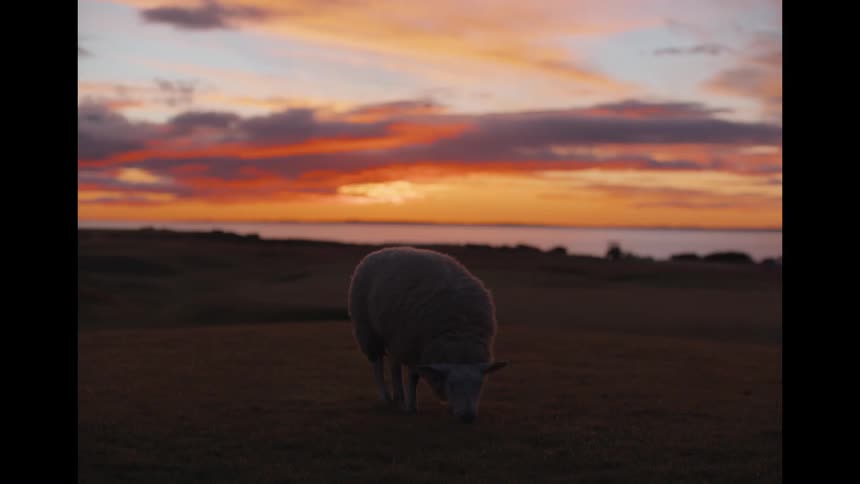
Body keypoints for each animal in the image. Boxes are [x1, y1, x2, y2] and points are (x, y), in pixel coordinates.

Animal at [348, 246, 508, 423]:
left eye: (479, 385)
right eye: (451, 384)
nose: (468, 417)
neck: (459, 335)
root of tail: (379, 251)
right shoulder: (415, 348)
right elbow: (413, 378)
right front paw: (411, 407)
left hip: (394, 336)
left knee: (394, 365)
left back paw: (399, 396)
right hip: (368, 330)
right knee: (377, 364)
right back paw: (385, 397)